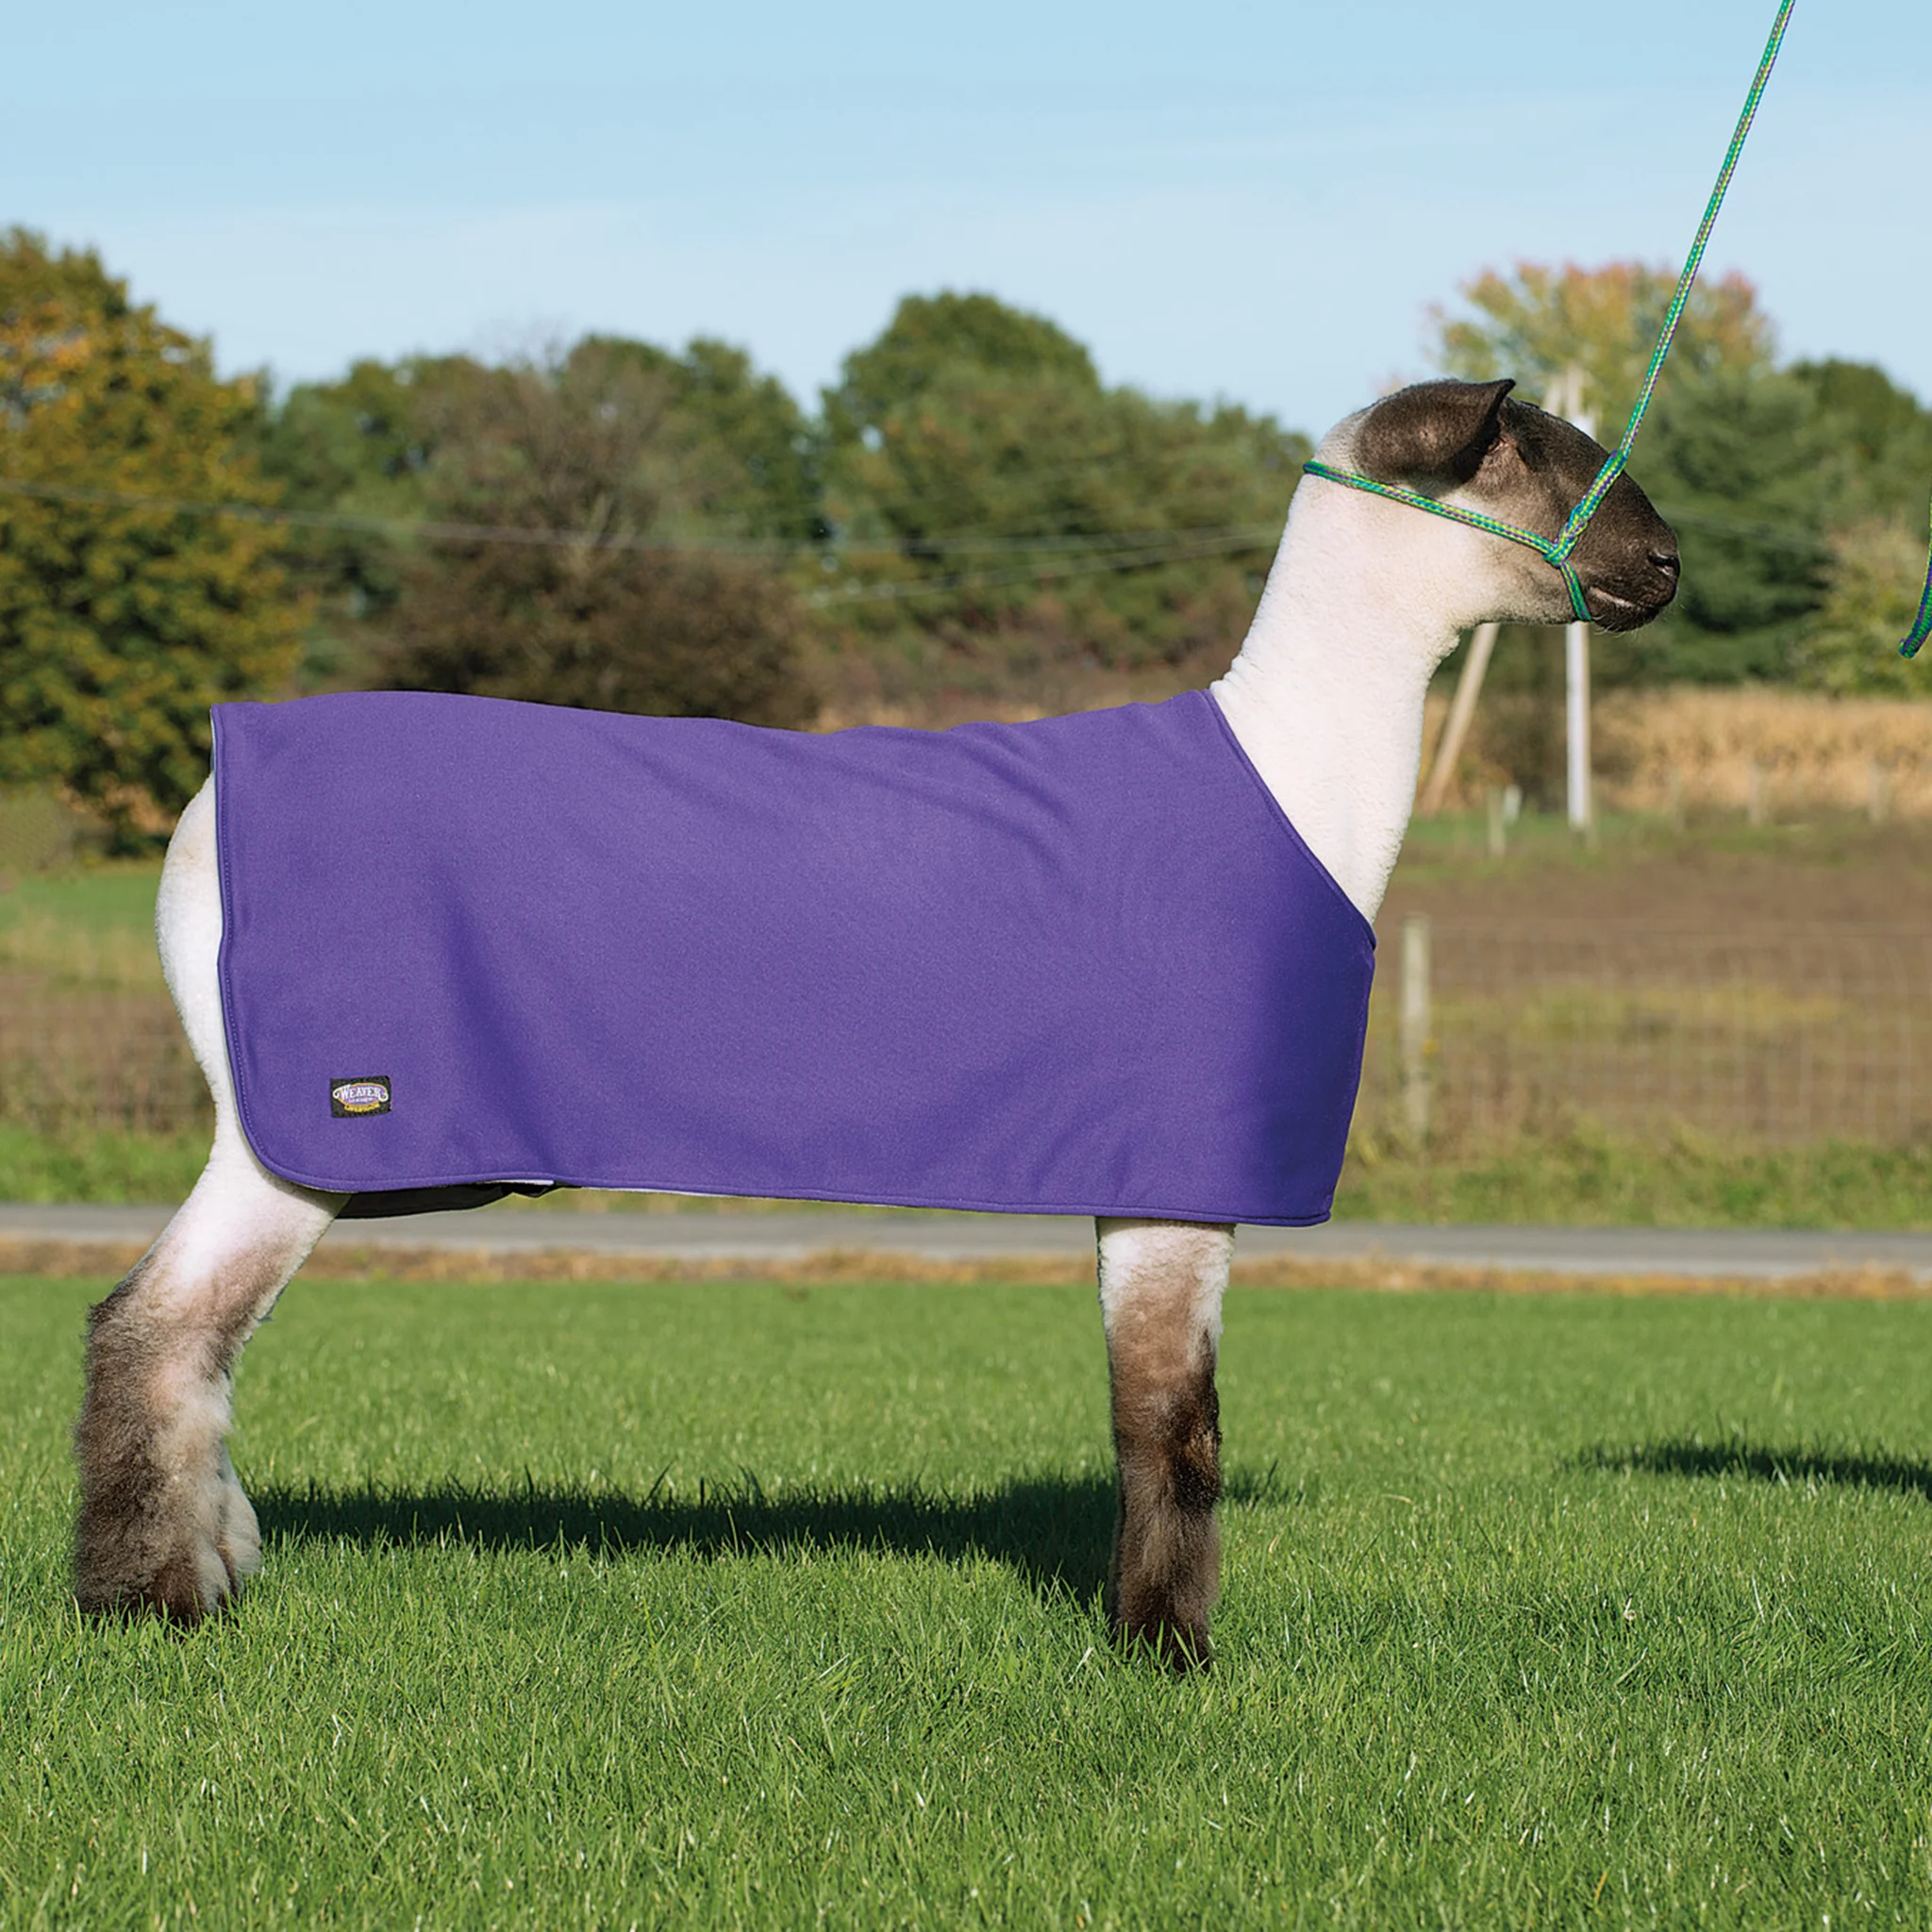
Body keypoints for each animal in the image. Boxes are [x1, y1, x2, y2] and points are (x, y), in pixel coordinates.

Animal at [71, 376, 1680, 1665]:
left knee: (184, 1340)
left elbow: (1154, 1418)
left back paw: (200, 1582)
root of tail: (204, 804)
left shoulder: (1152, 1168)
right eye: (1544, 459)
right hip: (313, 1118)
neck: (1294, 771)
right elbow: (1177, 1424)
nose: (1666, 565)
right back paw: (144, 1610)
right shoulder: (1179, 1158)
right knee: (155, 1328)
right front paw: (1172, 1659)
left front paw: (1145, 1639)